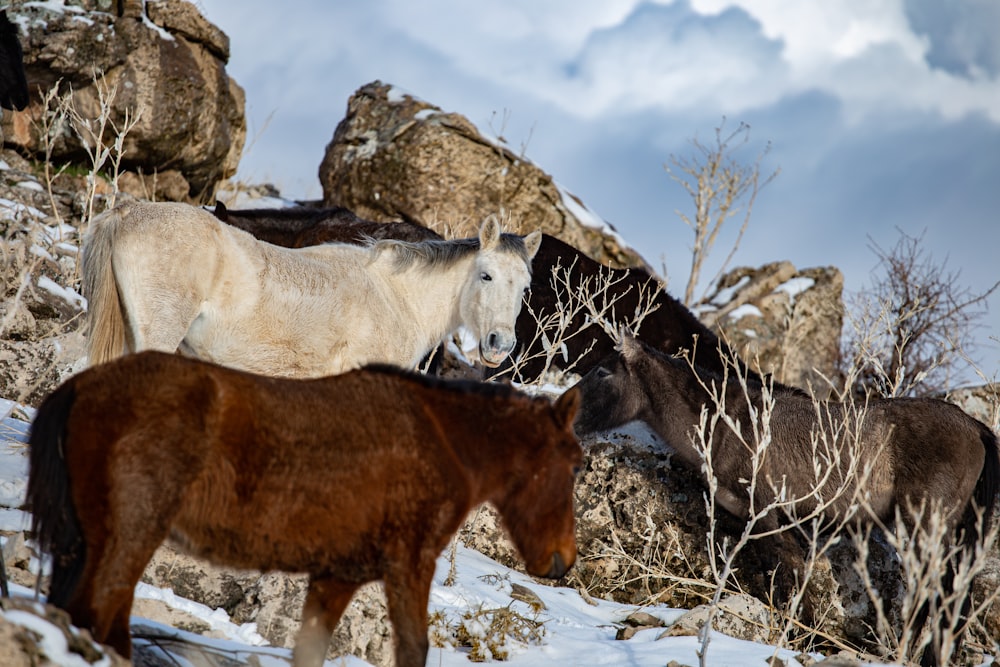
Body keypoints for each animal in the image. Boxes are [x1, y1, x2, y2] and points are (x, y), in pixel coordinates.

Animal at [27, 352, 584, 664]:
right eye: (577, 465)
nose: (563, 561)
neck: (444, 440)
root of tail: (84, 385)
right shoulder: (410, 565)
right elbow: (413, 649)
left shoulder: (336, 577)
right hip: (131, 534)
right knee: (94, 614)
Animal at [576, 336, 996, 664]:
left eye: (602, 373)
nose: (570, 416)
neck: (723, 422)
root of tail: (975, 426)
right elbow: (781, 575)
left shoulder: (766, 515)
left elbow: (789, 575)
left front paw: (805, 638)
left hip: (924, 523)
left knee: (934, 588)